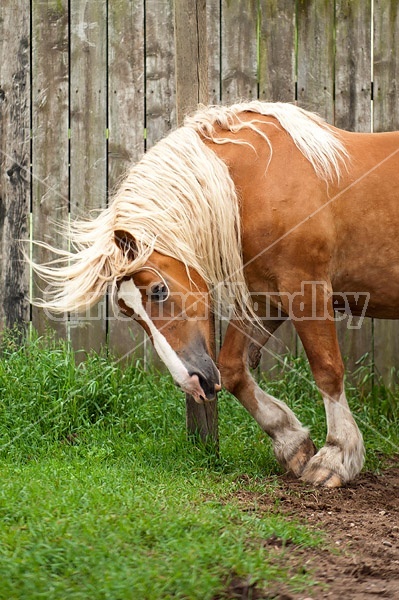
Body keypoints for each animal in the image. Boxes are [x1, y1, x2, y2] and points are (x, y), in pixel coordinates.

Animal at [32, 102, 399, 488]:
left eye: (159, 290)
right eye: (128, 311)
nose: (192, 383)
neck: (254, 182)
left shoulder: (305, 289)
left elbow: (327, 369)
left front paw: (337, 456)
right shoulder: (265, 298)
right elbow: (233, 369)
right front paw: (291, 441)